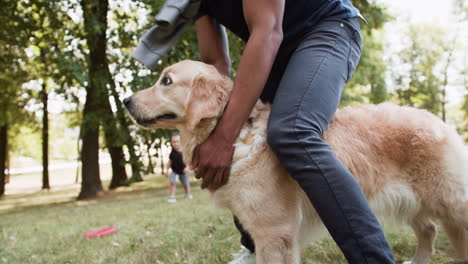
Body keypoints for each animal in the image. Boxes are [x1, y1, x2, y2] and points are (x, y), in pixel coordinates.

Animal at [123, 60, 468, 264]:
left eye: (166, 81)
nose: (126, 101)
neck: (236, 133)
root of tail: (438, 120)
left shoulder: (274, 232)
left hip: (449, 202)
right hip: (409, 201)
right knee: (428, 230)